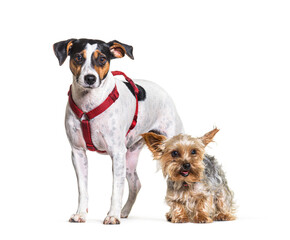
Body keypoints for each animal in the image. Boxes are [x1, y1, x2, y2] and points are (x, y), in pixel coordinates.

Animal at [53, 38, 236, 225]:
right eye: (78, 57)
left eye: (102, 59)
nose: (90, 78)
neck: (88, 106)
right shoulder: (78, 153)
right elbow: (83, 189)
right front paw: (81, 214)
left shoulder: (117, 153)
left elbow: (116, 190)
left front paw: (112, 215)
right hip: (129, 159)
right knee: (136, 184)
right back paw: (125, 211)